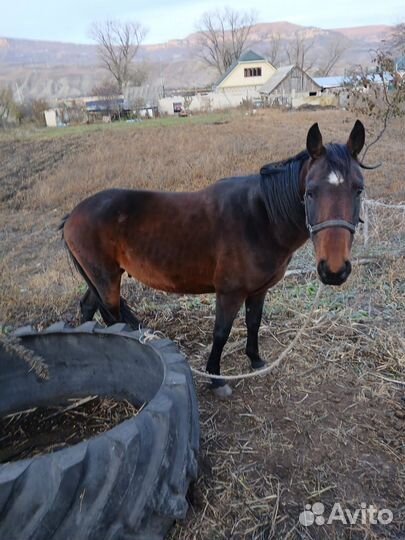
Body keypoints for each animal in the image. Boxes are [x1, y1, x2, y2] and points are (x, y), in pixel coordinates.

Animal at [60, 120, 366, 396]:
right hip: (106, 279)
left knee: (89, 306)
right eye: (310, 192)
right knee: (111, 314)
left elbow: (253, 323)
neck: (261, 218)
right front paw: (215, 379)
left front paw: (255, 360)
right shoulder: (229, 292)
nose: (334, 270)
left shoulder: (259, 290)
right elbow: (221, 332)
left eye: (358, 189)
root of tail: (72, 215)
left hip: (101, 278)